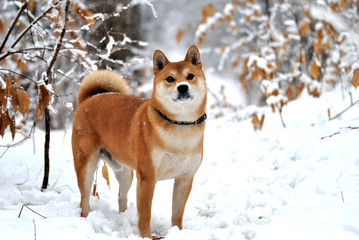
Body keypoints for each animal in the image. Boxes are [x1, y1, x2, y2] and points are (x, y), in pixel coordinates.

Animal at [72, 45, 208, 238]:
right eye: (170, 79)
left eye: (190, 76)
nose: (182, 87)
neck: (180, 125)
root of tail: (89, 99)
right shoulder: (147, 177)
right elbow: (145, 214)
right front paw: (146, 236)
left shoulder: (185, 179)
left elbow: (177, 214)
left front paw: (178, 233)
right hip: (87, 166)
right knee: (84, 201)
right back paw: (85, 221)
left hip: (124, 172)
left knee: (121, 197)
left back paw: (123, 219)